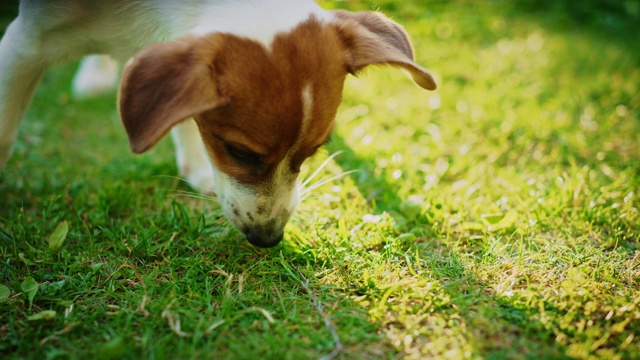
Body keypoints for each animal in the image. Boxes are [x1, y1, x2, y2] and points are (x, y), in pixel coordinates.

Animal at [0, 0, 436, 248]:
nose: (267, 240)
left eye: (314, 151)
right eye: (238, 151)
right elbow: (4, 133)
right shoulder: (25, 42)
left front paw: (197, 170)